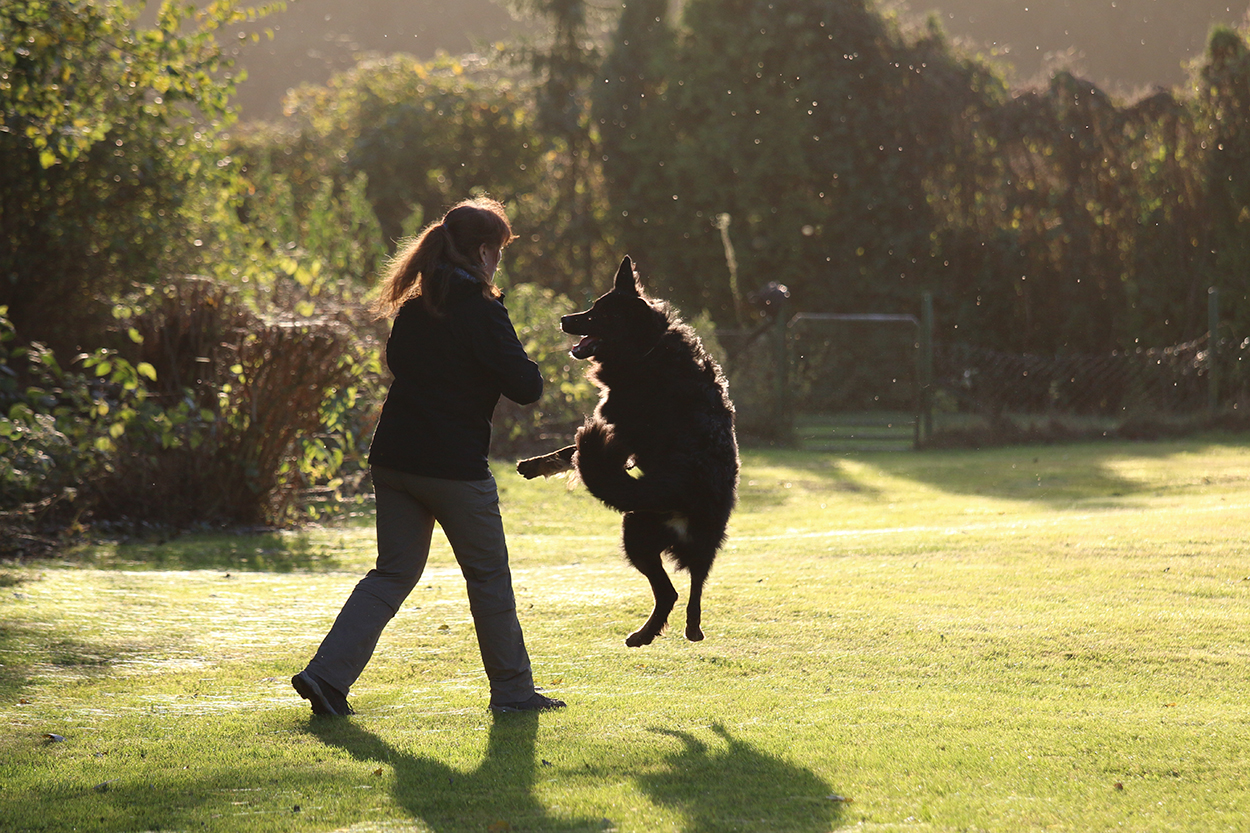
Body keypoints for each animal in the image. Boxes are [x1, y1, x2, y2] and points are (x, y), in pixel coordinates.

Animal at [518, 256, 739, 646]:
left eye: (598, 314)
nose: (564, 320)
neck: (646, 349)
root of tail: (682, 494)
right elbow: (568, 453)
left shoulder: (616, 429)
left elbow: (570, 451)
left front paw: (539, 464)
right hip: (661, 538)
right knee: (690, 587)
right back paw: (686, 629)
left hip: (633, 530)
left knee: (670, 592)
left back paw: (646, 634)